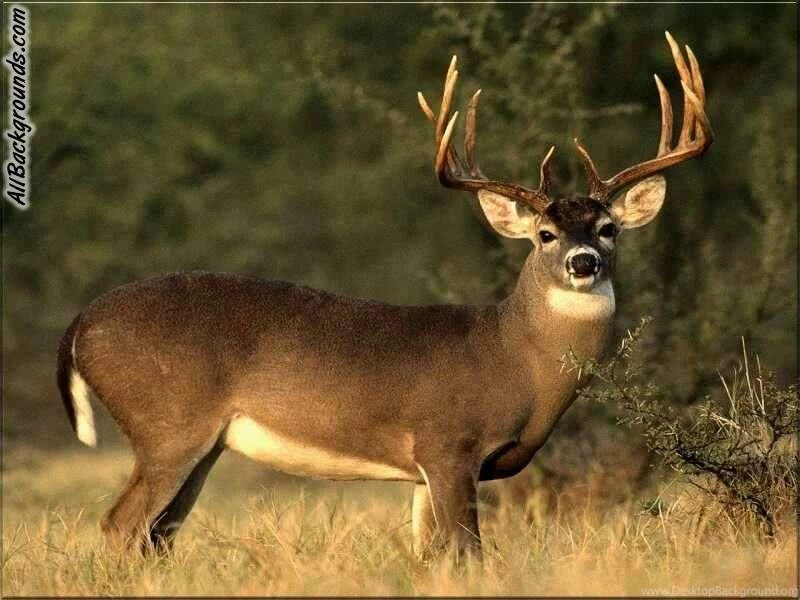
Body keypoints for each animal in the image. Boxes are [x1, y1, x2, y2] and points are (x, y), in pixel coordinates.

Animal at [56, 32, 711, 560]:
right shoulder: (449, 443)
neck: (516, 359)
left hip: (201, 443)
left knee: (157, 536)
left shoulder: (423, 473)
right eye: (545, 234)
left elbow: (431, 557)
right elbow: (469, 554)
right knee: (120, 526)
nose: (583, 262)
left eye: (608, 228)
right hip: (168, 424)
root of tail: (79, 325)